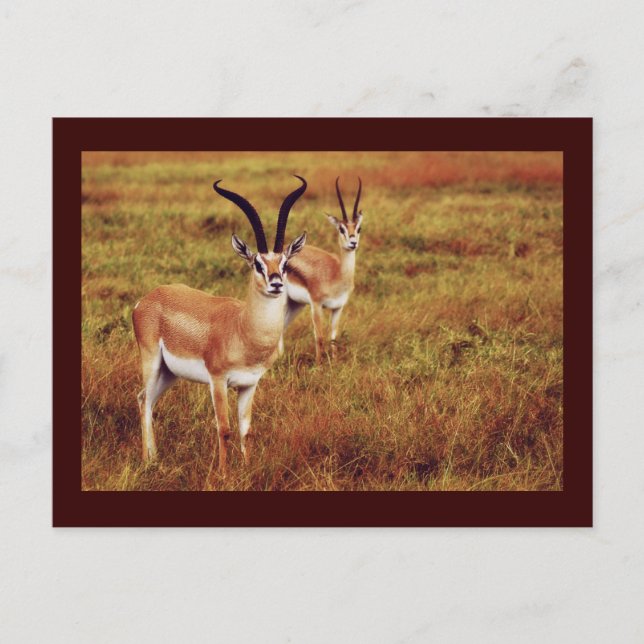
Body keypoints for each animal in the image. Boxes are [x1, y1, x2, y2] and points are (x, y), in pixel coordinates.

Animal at [132, 176, 307, 475]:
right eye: (257, 263)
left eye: (285, 263)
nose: (276, 283)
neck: (243, 330)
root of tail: (147, 299)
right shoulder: (218, 381)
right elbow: (224, 429)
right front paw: (224, 475)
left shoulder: (249, 384)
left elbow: (246, 430)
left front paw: (247, 470)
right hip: (152, 361)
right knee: (143, 399)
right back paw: (147, 461)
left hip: (170, 373)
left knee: (148, 399)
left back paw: (154, 459)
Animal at [280, 177, 363, 363]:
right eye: (341, 228)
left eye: (358, 228)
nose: (353, 243)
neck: (337, 275)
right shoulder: (317, 305)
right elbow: (319, 337)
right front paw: (318, 365)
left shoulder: (338, 307)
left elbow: (333, 337)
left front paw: (335, 362)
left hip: (295, 304)